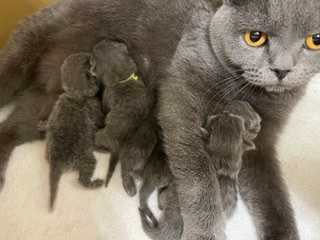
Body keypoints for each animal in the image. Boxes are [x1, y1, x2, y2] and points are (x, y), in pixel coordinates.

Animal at [0, 0, 318, 240]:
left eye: (314, 41)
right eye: (255, 37)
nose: (282, 70)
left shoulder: (260, 145)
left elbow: (274, 199)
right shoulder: (180, 100)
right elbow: (200, 178)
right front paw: (204, 232)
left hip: (46, 106)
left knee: (10, 129)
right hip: (26, 48)